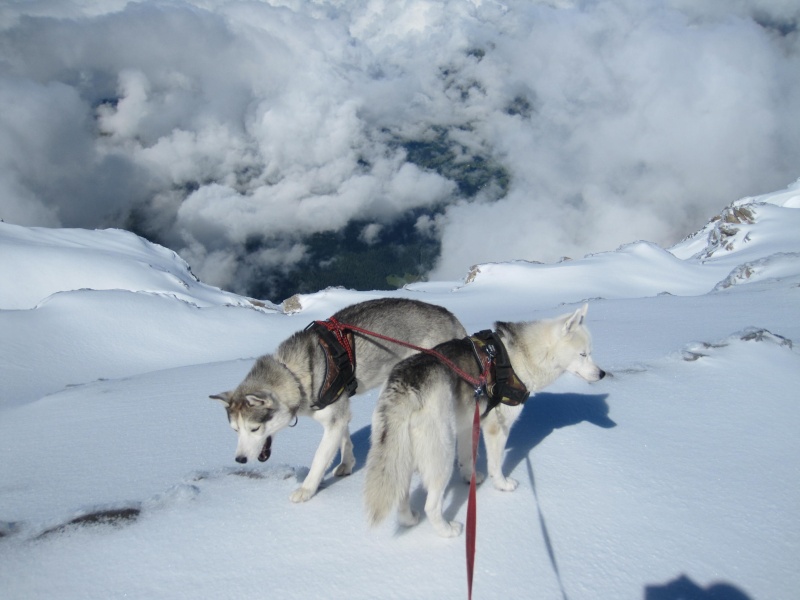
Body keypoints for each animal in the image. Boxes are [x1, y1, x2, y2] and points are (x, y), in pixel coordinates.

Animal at [209, 298, 466, 502]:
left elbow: (319, 458)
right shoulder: (339, 412)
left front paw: (306, 489)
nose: (240, 459)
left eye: (254, 429)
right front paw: (347, 464)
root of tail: (451, 317)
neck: (295, 375)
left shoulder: (333, 419)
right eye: (235, 430)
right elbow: (345, 439)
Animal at [366, 304, 604, 536]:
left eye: (591, 353)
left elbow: (467, 457)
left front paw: (469, 478)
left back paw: (409, 519)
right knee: (431, 506)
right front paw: (502, 484)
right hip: (441, 455)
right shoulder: (497, 428)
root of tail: (404, 384)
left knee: (401, 493)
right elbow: (496, 465)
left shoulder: (467, 424)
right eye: (583, 354)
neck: (523, 355)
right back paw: (447, 530)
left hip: (401, 456)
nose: (602, 374)